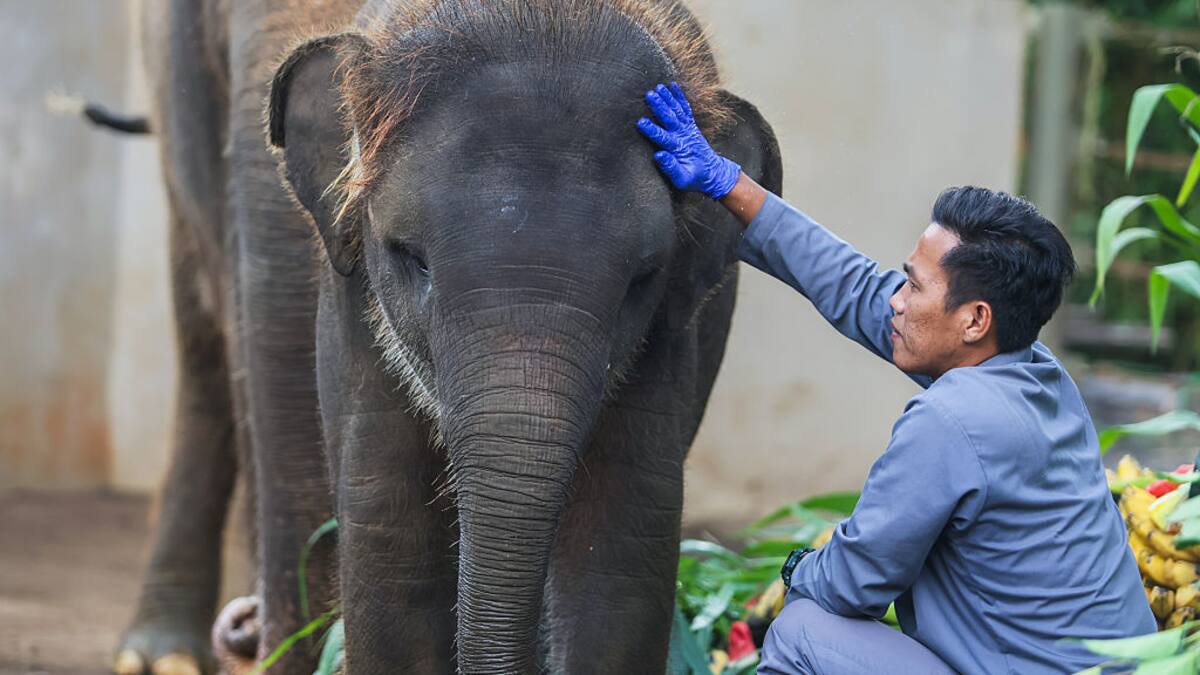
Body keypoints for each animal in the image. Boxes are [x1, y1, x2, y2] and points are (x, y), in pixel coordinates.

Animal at [116, 0, 781, 673]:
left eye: (641, 281)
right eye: (414, 260)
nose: (242, 626)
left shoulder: (670, 333)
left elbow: (621, 550)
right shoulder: (355, 306)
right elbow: (390, 535)